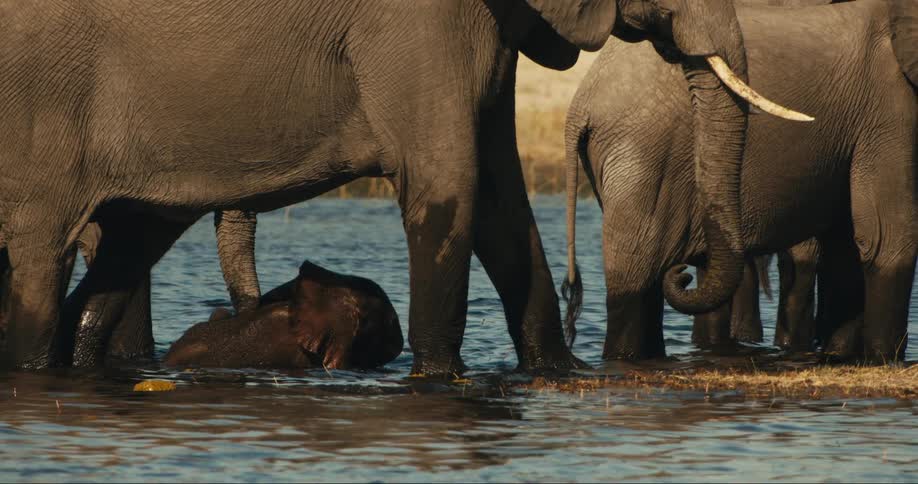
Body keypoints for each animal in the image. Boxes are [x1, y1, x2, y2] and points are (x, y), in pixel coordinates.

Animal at [562, 0, 916, 361]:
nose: (682, 275)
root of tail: (581, 107)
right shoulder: (889, 104)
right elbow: (887, 237)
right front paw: (883, 361)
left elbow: (847, 247)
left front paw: (838, 357)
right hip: (646, 154)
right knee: (637, 276)